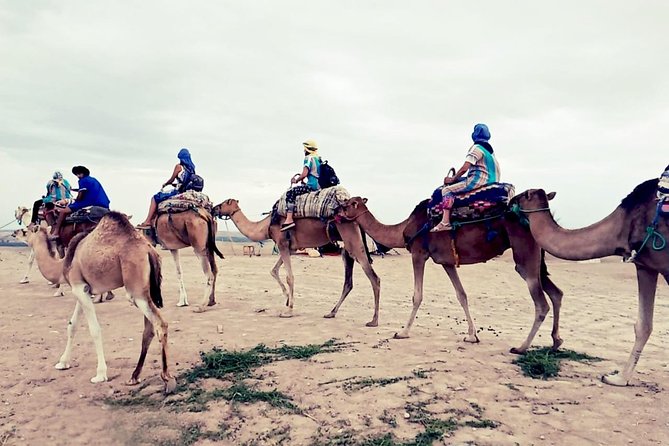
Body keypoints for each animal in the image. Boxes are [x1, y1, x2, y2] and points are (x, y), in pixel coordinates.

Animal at [57, 211, 176, 392]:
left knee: (159, 324)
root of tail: (150, 251)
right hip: (144, 289)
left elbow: (94, 330)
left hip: (135, 291)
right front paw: (63, 362)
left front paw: (100, 375)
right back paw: (134, 376)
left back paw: (167, 378)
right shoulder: (83, 290)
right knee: (148, 329)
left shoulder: (79, 287)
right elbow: (72, 325)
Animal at [214, 200, 380, 326]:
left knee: (374, 278)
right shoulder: (290, 248)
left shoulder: (282, 243)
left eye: (225, 202)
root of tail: (356, 219)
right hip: (347, 248)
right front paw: (287, 299)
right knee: (348, 282)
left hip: (352, 241)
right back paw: (331, 313)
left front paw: (288, 311)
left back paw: (373, 321)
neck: (265, 227)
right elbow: (273, 270)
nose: (214, 207)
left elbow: (290, 277)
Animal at [340, 195, 564, 352]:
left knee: (541, 303)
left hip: (525, 256)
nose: (336, 211)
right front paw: (472, 336)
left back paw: (521, 347)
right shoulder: (447, 262)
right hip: (536, 260)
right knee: (556, 293)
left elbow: (417, 296)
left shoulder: (418, 253)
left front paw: (402, 332)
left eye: (348, 204)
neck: (403, 229)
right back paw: (556, 341)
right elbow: (461, 295)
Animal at [516, 179, 668, 386]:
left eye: (524, 195)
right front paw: (619, 378)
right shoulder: (645, 266)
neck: (624, 224)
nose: (509, 200)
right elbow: (643, 325)